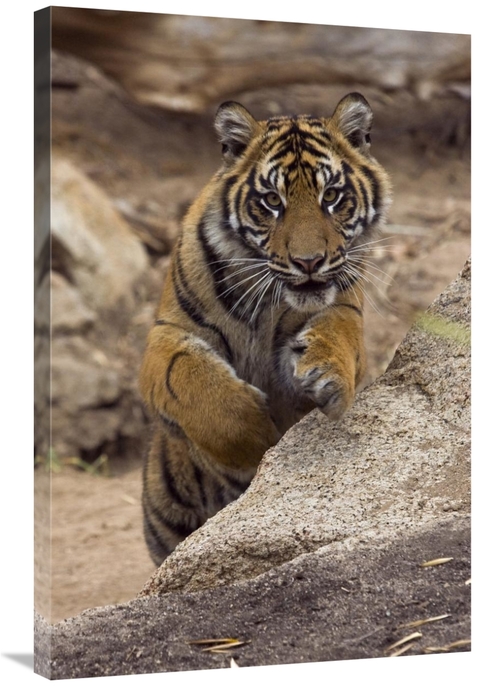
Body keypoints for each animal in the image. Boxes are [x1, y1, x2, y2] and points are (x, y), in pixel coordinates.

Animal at [139, 92, 392, 566]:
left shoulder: (345, 306)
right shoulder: (168, 336)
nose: (309, 262)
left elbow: (338, 334)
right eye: (272, 201)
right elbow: (197, 386)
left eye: (333, 196)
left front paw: (327, 379)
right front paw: (258, 440)